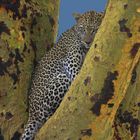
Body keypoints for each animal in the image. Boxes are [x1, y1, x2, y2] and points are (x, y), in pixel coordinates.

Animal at [20, 10, 104, 139]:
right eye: (83, 29)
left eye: (95, 30)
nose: (88, 41)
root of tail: (31, 114)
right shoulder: (71, 62)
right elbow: (77, 76)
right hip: (62, 80)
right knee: (45, 117)